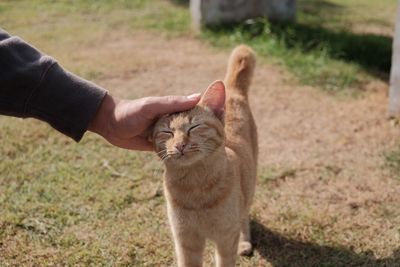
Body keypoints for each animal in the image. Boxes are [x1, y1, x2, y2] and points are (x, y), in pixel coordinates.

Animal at [153, 46, 256, 267]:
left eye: (194, 127)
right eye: (167, 133)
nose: (180, 144)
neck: (195, 186)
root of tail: (232, 91)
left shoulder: (226, 239)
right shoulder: (185, 241)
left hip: (249, 188)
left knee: (244, 215)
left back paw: (245, 243)